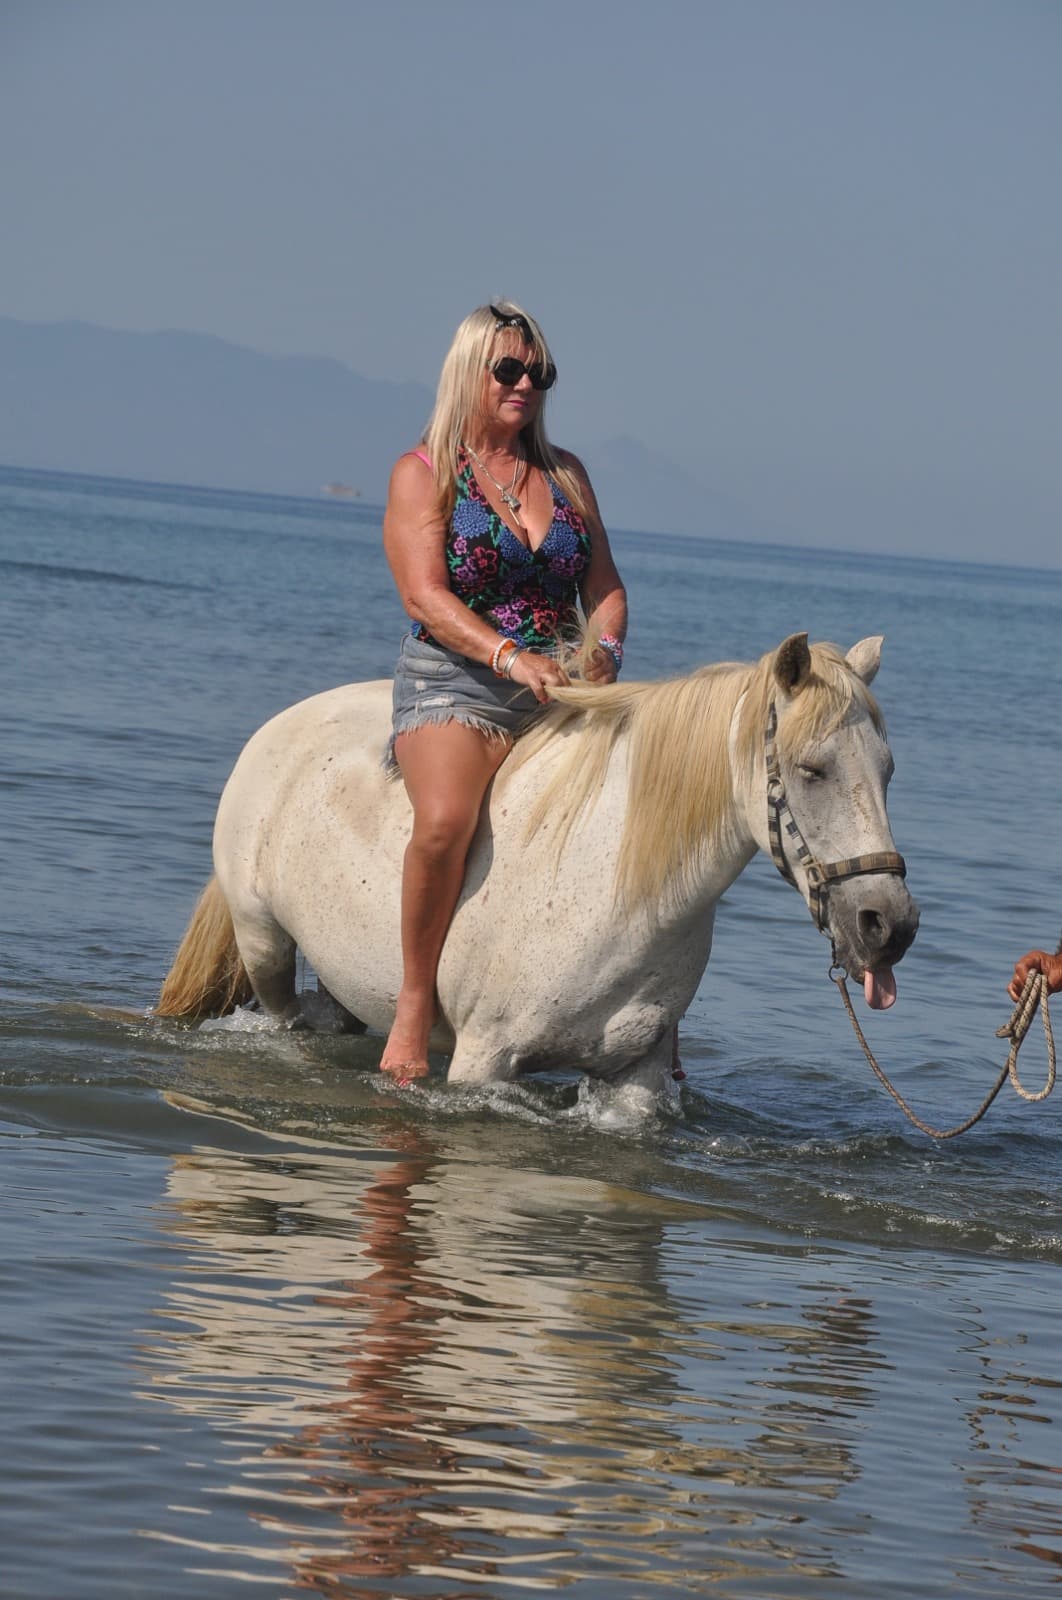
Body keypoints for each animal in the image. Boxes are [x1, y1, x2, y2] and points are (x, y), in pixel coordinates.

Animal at [156, 632, 919, 1101]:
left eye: (888, 770)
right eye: (812, 769)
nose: (889, 926)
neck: (617, 892)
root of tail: (282, 725)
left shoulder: (637, 1078)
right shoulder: (482, 1062)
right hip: (264, 945)